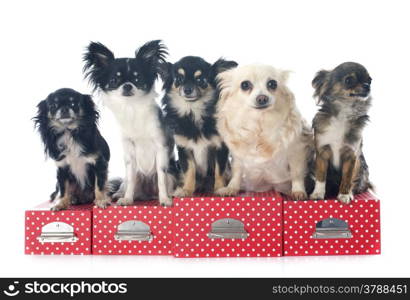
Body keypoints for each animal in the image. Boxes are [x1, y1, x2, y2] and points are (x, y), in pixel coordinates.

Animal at [84, 39, 177, 206]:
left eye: (137, 79)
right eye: (114, 80)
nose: (127, 85)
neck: (132, 107)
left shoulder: (161, 148)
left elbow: (161, 178)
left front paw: (165, 199)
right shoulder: (129, 153)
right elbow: (131, 179)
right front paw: (127, 199)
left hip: (171, 175)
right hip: (131, 178)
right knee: (127, 183)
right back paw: (119, 195)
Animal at [160, 56, 237, 197]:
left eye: (200, 80)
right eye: (179, 79)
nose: (187, 90)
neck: (193, 111)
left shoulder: (220, 147)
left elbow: (219, 171)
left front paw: (219, 188)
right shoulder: (184, 149)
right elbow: (190, 170)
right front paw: (186, 190)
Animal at [216, 63, 312, 199]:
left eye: (272, 84)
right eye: (245, 85)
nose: (262, 98)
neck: (259, 122)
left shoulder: (297, 151)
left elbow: (296, 173)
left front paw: (298, 191)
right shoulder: (238, 156)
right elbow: (237, 172)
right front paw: (231, 188)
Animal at [310, 61, 374, 204]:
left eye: (370, 80)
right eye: (349, 80)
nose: (367, 86)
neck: (344, 113)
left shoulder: (351, 156)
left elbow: (347, 178)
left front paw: (344, 195)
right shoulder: (322, 153)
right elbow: (320, 176)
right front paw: (318, 193)